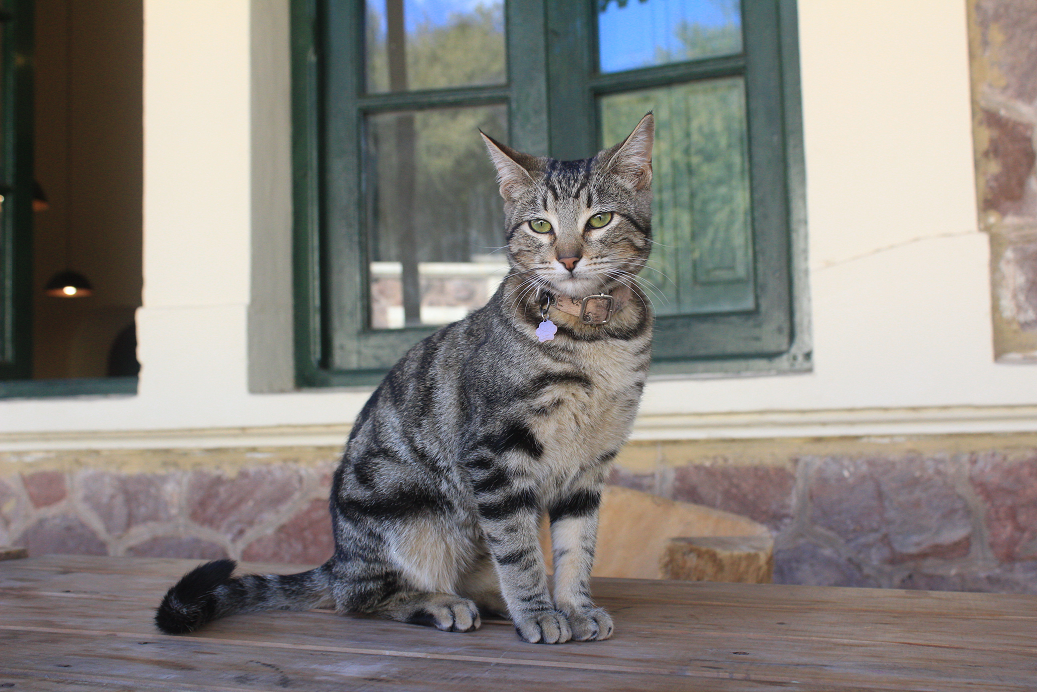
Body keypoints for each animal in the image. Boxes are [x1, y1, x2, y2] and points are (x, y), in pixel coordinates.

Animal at [151, 112, 655, 643]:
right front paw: (538, 613)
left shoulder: (588, 467)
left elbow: (576, 549)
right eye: (541, 225)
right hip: (409, 513)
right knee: (360, 596)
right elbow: (520, 554)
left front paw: (575, 607)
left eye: (598, 220)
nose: (569, 257)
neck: (594, 340)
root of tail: (339, 557)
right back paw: (439, 603)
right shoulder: (494, 456)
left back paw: (489, 599)